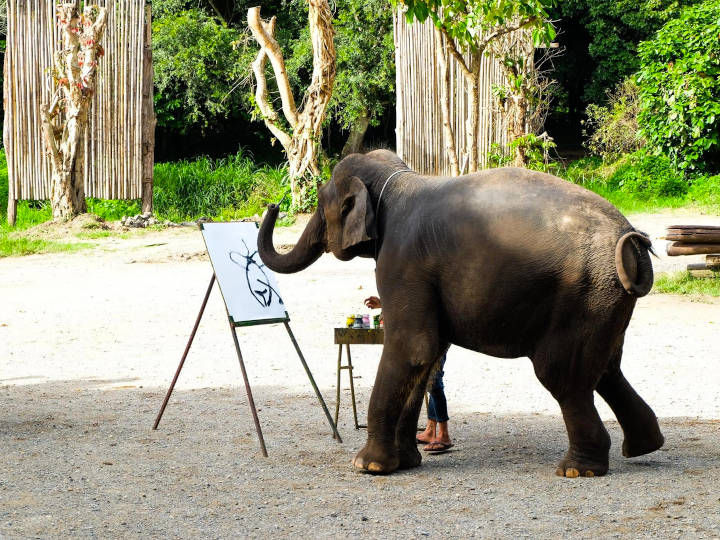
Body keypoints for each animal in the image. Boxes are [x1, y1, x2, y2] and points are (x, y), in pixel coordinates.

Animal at [258, 149, 664, 476]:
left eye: (321, 204)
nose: (273, 205)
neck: (399, 180)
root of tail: (632, 238)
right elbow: (427, 356)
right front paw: (406, 463)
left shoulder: (401, 263)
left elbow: (413, 347)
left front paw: (368, 466)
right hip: (602, 300)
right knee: (605, 369)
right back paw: (645, 446)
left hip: (583, 294)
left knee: (561, 375)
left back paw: (578, 470)